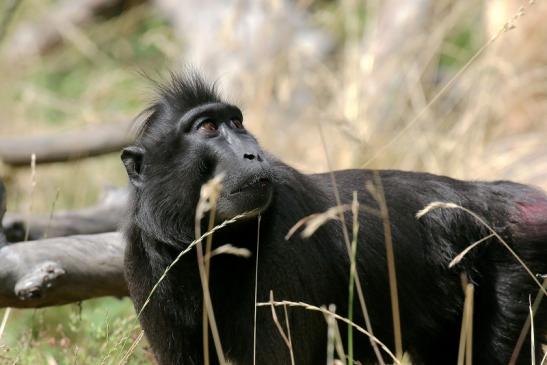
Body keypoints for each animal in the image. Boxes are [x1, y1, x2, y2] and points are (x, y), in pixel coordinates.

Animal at [124, 72, 547, 364]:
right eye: (209, 127)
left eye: (237, 124)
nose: (252, 152)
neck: (211, 244)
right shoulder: (141, 255)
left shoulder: (284, 232)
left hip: (519, 270)